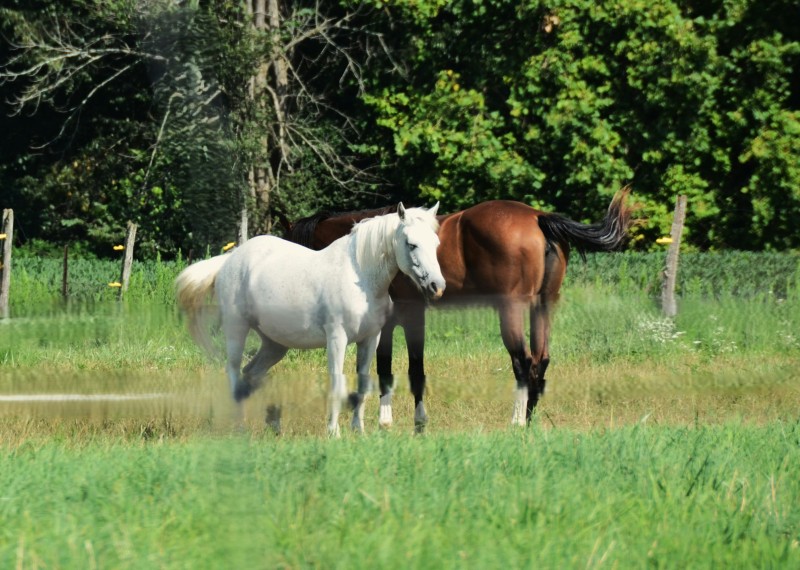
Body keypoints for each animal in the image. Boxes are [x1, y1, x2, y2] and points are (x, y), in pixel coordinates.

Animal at [176, 203, 445, 436]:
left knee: (251, 373)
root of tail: (229, 261)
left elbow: (363, 383)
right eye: (411, 244)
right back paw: (240, 428)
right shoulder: (337, 338)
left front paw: (358, 431)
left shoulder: (370, 339)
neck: (359, 275)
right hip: (236, 330)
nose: (437, 286)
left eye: (436, 243)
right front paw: (334, 432)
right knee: (233, 373)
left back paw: (273, 424)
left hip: (275, 344)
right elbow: (336, 383)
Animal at [289, 190, 633, 431]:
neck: (377, 249)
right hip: (543, 308)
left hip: (510, 310)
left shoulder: (403, 318)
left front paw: (399, 422)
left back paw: (516, 421)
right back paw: (529, 420)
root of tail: (538, 217)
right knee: (540, 360)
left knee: (522, 362)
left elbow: (400, 368)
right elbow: (398, 368)